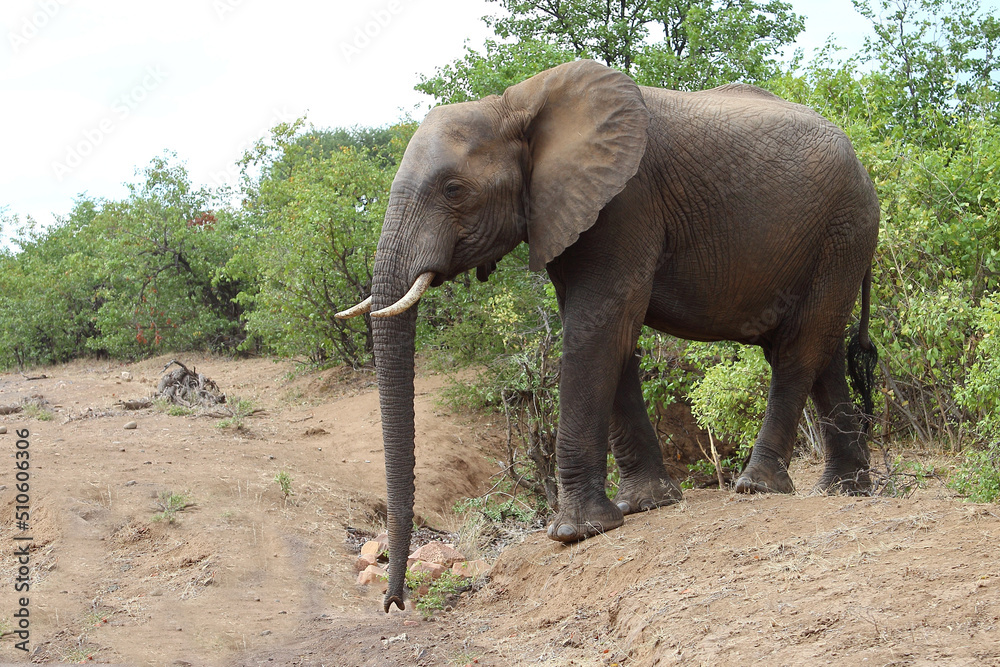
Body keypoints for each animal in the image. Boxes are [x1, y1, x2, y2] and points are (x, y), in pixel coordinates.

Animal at [336, 60, 880, 613]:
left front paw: (574, 533)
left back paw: (758, 487)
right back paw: (845, 491)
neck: (515, 104)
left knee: (798, 351)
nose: (394, 603)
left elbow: (596, 329)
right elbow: (612, 339)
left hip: (845, 228)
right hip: (837, 237)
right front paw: (646, 505)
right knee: (824, 353)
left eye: (453, 189)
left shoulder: (625, 203)